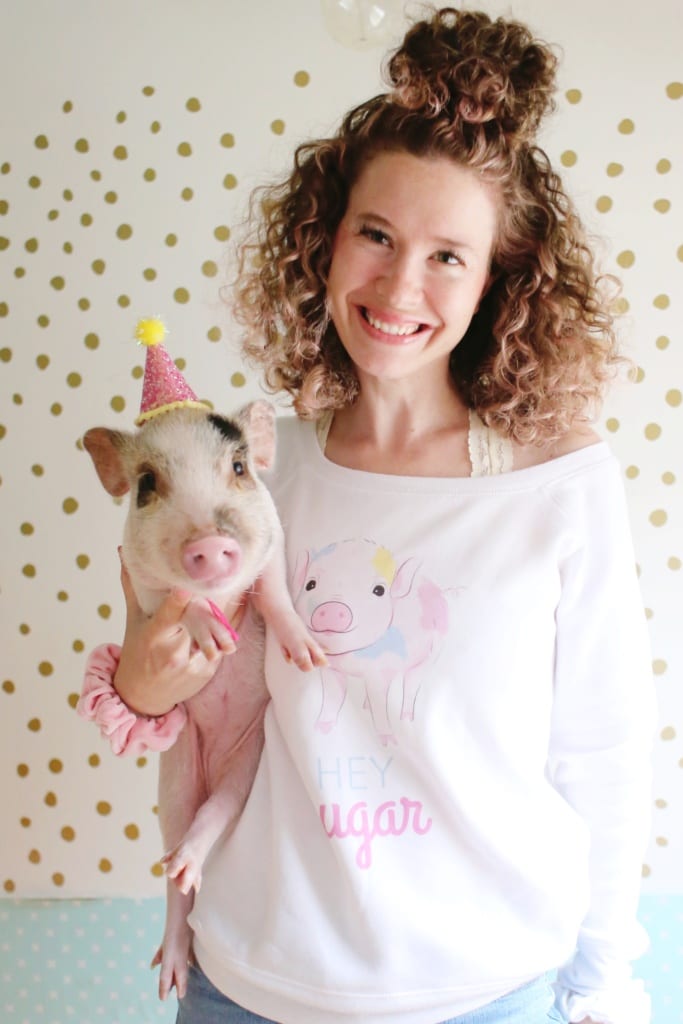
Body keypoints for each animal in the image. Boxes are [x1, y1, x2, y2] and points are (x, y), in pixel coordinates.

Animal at [81, 399, 323, 999]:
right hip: (175, 776)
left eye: (238, 467)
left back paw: (189, 862)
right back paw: (172, 965)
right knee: (175, 875)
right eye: (147, 484)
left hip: (245, 764)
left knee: (217, 812)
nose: (208, 543)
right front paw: (215, 638)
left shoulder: (273, 540)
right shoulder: (139, 582)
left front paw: (309, 656)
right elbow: (178, 598)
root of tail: (210, 769)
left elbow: (275, 595)